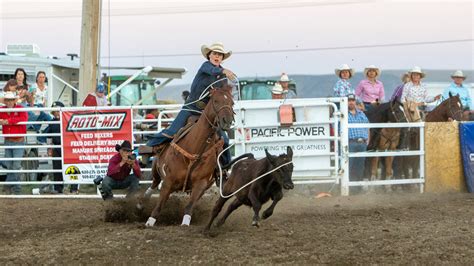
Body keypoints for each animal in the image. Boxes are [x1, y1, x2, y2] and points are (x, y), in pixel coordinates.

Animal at [143, 86, 235, 228]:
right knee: (153, 184)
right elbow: (159, 206)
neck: (194, 148)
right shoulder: (168, 181)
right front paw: (149, 222)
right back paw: (141, 203)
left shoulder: (201, 183)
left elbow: (190, 206)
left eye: (232, 103)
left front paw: (185, 223)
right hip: (155, 170)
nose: (227, 121)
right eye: (215, 101)